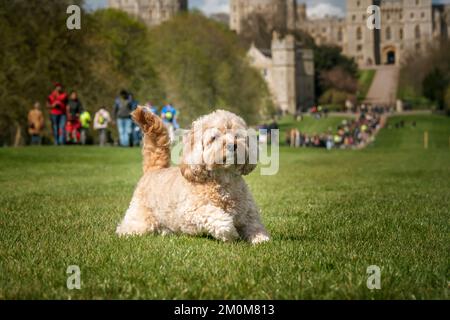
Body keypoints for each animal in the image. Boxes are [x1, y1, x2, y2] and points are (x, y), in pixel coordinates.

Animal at [117, 106, 270, 244]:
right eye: (214, 138)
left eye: (237, 136)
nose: (232, 145)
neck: (223, 181)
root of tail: (153, 170)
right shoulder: (191, 211)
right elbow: (217, 217)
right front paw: (231, 233)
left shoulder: (248, 211)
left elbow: (254, 225)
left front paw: (260, 238)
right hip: (141, 218)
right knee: (126, 228)